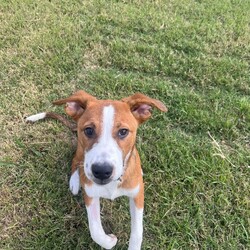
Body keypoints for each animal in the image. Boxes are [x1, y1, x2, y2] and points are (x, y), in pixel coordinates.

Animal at [25, 90, 168, 250]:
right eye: (88, 130)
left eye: (123, 131)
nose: (101, 171)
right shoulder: (90, 194)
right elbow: (96, 231)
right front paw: (110, 240)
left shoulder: (137, 196)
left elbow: (137, 232)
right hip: (80, 150)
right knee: (75, 160)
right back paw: (75, 181)